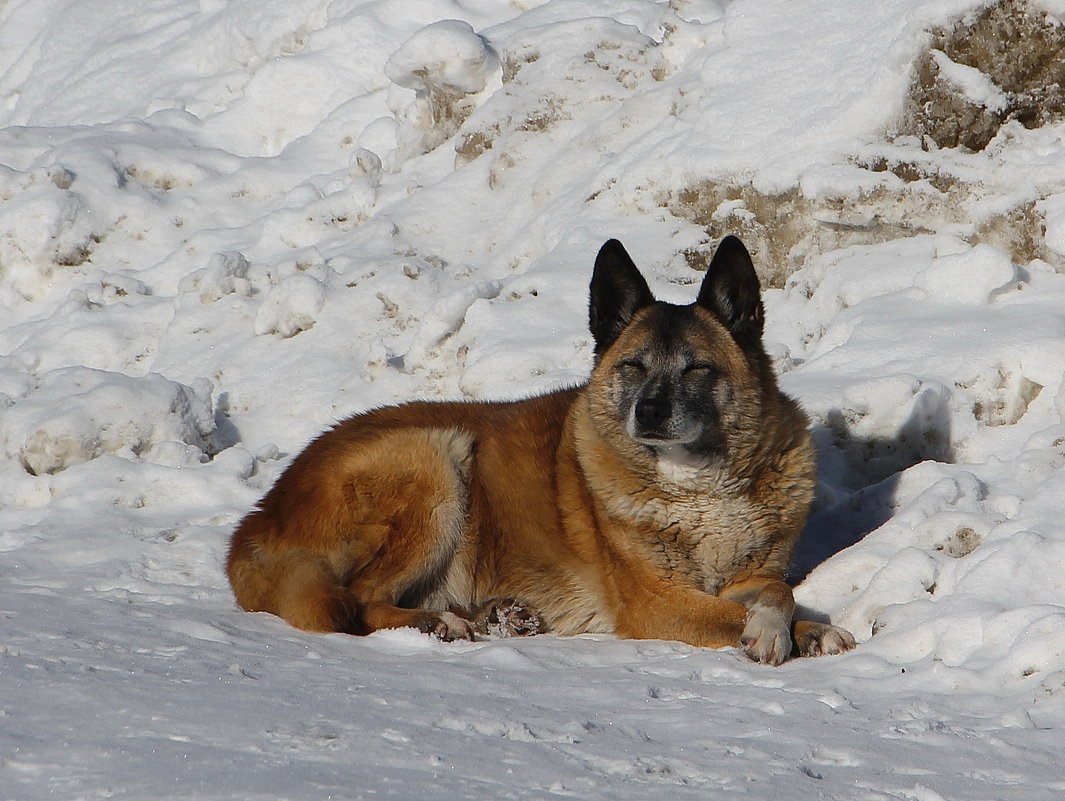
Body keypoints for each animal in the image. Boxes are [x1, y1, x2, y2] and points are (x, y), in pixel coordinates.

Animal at [226, 237, 856, 664]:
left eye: (698, 368)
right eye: (634, 366)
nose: (649, 413)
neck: (698, 487)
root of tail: (256, 520)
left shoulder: (747, 572)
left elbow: (776, 589)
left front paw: (806, 629)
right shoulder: (658, 602)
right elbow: (747, 608)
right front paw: (774, 633)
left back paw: (494, 615)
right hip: (435, 457)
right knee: (359, 600)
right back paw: (434, 624)